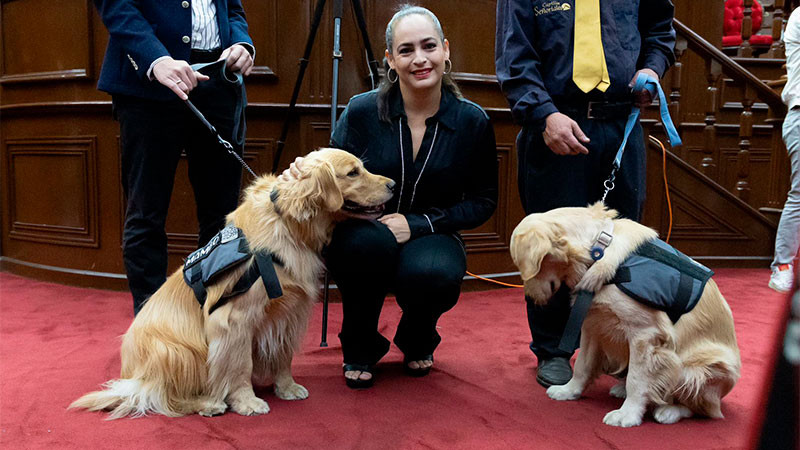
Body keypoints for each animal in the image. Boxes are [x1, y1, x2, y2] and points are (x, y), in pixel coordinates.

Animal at [69, 148, 394, 418]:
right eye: (353, 172)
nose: (392, 184)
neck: (289, 226)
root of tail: (130, 377)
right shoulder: (234, 320)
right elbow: (239, 366)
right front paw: (247, 401)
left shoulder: (290, 312)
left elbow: (284, 356)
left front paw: (287, 387)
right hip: (177, 351)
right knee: (160, 396)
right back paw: (206, 403)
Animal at [510, 202, 740, 428]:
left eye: (525, 267)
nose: (529, 297)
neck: (597, 250)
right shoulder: (592, 325)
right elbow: (583, 365)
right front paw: (569, 390)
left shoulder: (645, 335)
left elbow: (637, 381)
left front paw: (628, 415)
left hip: (698, 370)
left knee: (703, 409)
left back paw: (669, 411)